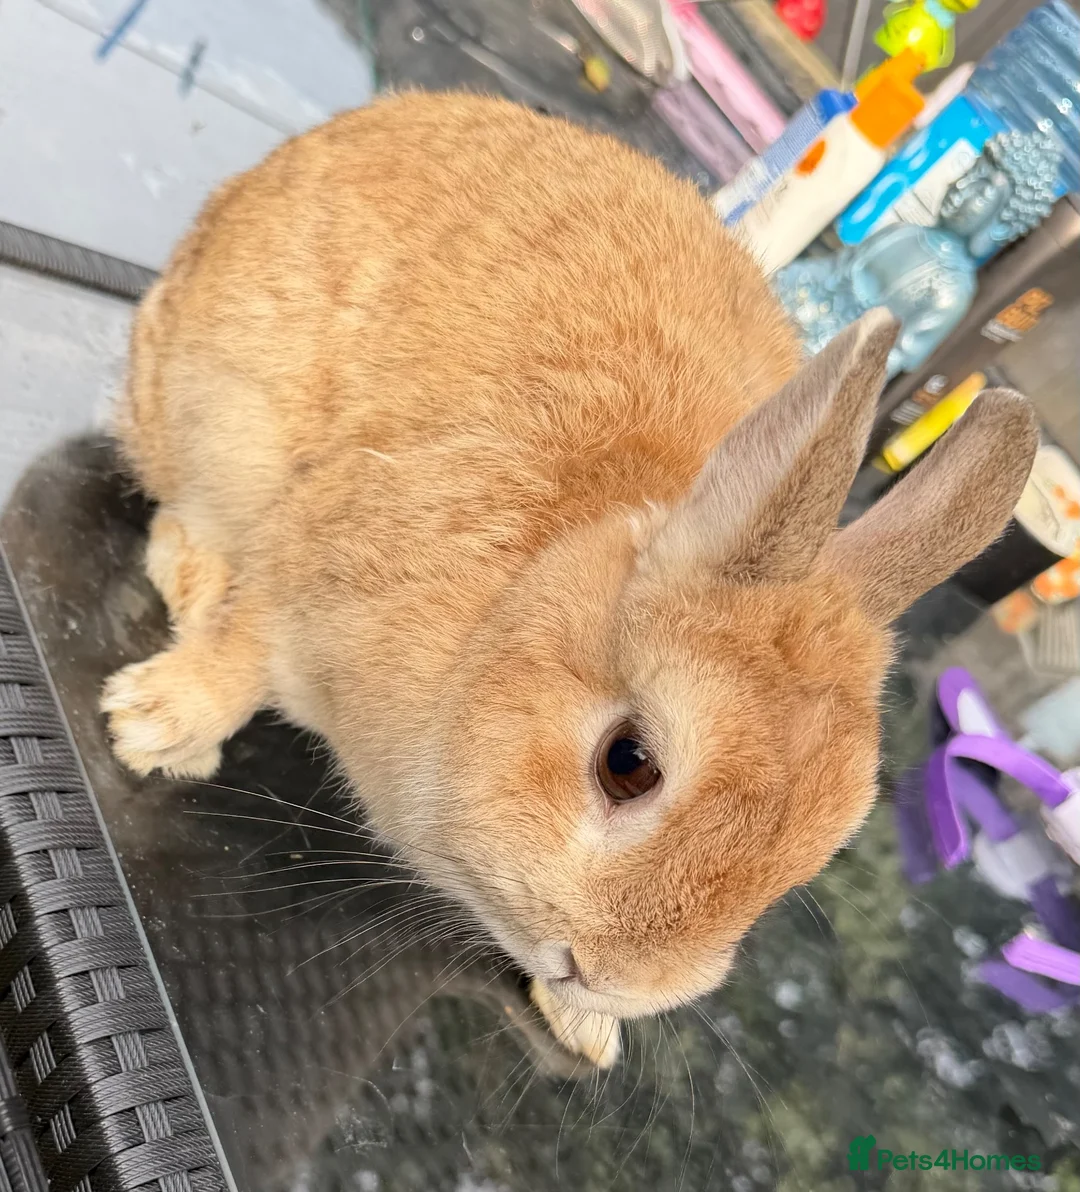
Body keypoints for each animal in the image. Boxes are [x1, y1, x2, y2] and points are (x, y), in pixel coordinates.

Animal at [101, 92, 1037, 1068]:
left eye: (808, 857)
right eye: (627, 764)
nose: (613, 976)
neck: (507, 610)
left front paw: (587, 1034)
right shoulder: (310, 562)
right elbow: (243, 654)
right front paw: (153, 726)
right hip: (216, 423)